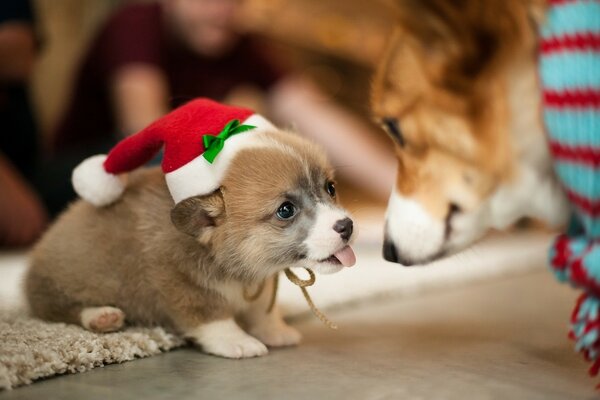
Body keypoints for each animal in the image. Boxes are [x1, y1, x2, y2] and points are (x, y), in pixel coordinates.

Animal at [24, 130, 356, 360]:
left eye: (330, 188)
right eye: (286, 210)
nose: (347, 226)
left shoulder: (260, 286)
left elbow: (262, 310)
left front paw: (274, 331)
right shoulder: (180, 282)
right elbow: (211, 315)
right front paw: (238, 341)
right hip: (59, 286)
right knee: (56, 309)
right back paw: (101, 316)